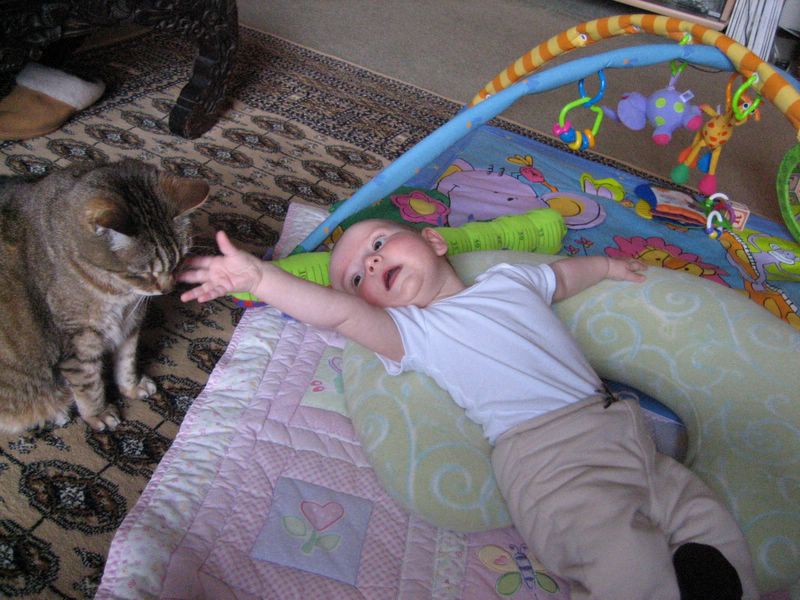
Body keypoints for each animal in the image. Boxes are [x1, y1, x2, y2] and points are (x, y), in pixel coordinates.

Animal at [0, 159, 208, 433]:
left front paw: (131, 386)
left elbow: (127, 361)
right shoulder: (80, 342)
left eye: (180, 261)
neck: (120, 295)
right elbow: (90, 384)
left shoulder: (130, 324)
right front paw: (98, 413)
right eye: (142, 274)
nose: (168, 289)